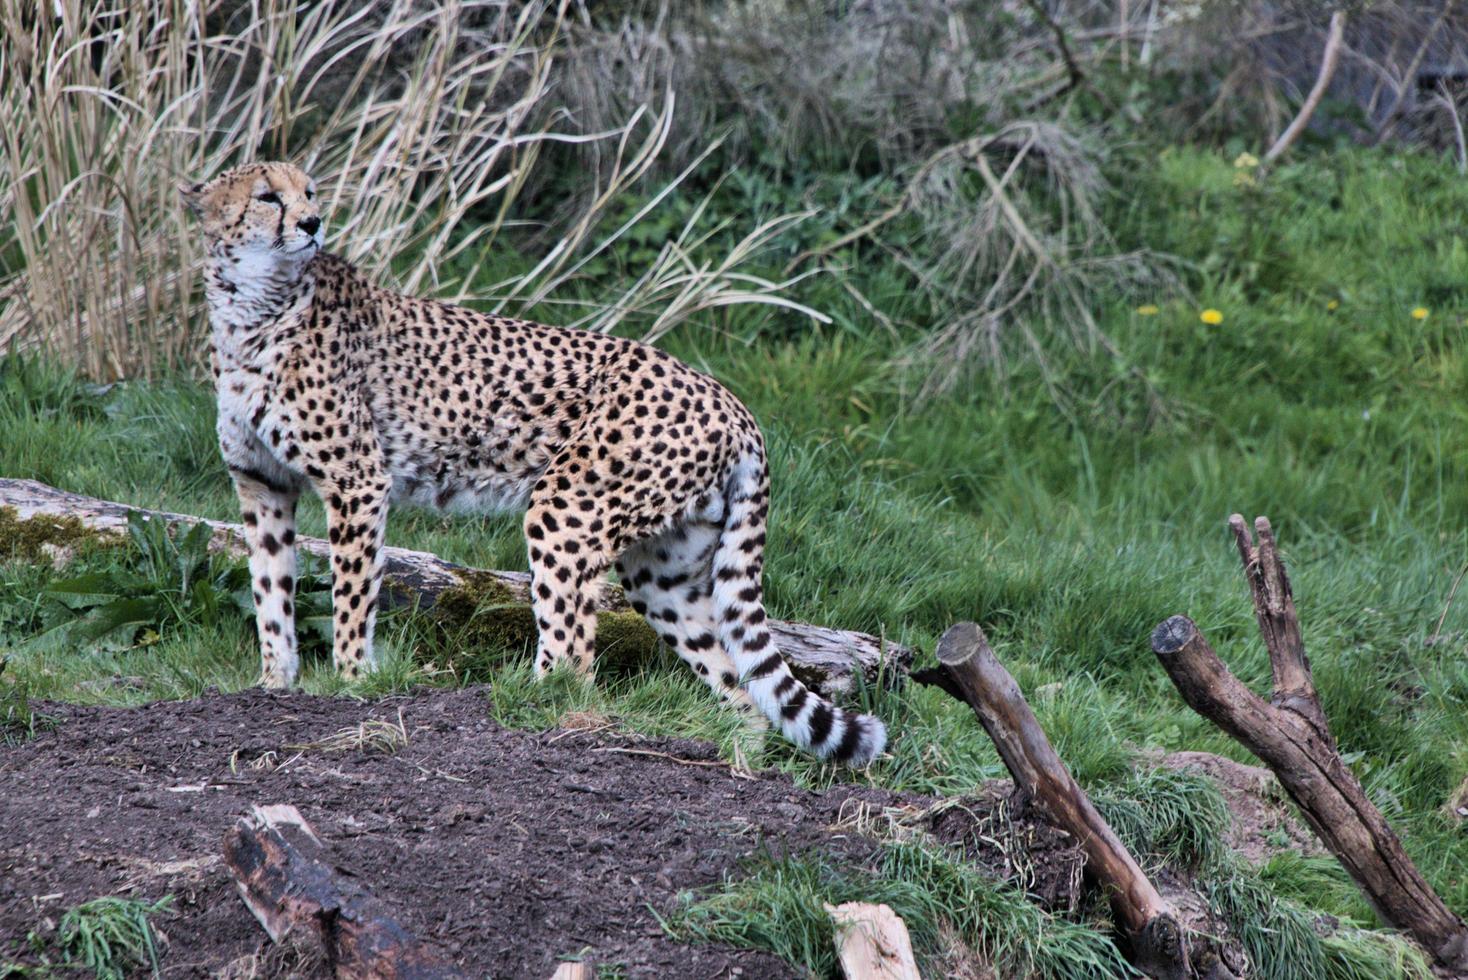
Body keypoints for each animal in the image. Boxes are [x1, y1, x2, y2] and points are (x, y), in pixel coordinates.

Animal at [189, 160, 886, 762]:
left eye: (308, 191)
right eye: (268, 197)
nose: (313, 222)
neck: (252, 303)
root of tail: (730, 399)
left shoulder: (356, 478)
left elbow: (352, 590)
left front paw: (354, 680)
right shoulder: (262, 484)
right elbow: (270, 587)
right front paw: (273, 683)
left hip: (566, 507)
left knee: (575, 653)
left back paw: (522, 706)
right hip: (662, 571)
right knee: (735, 686)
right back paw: (736, 749)